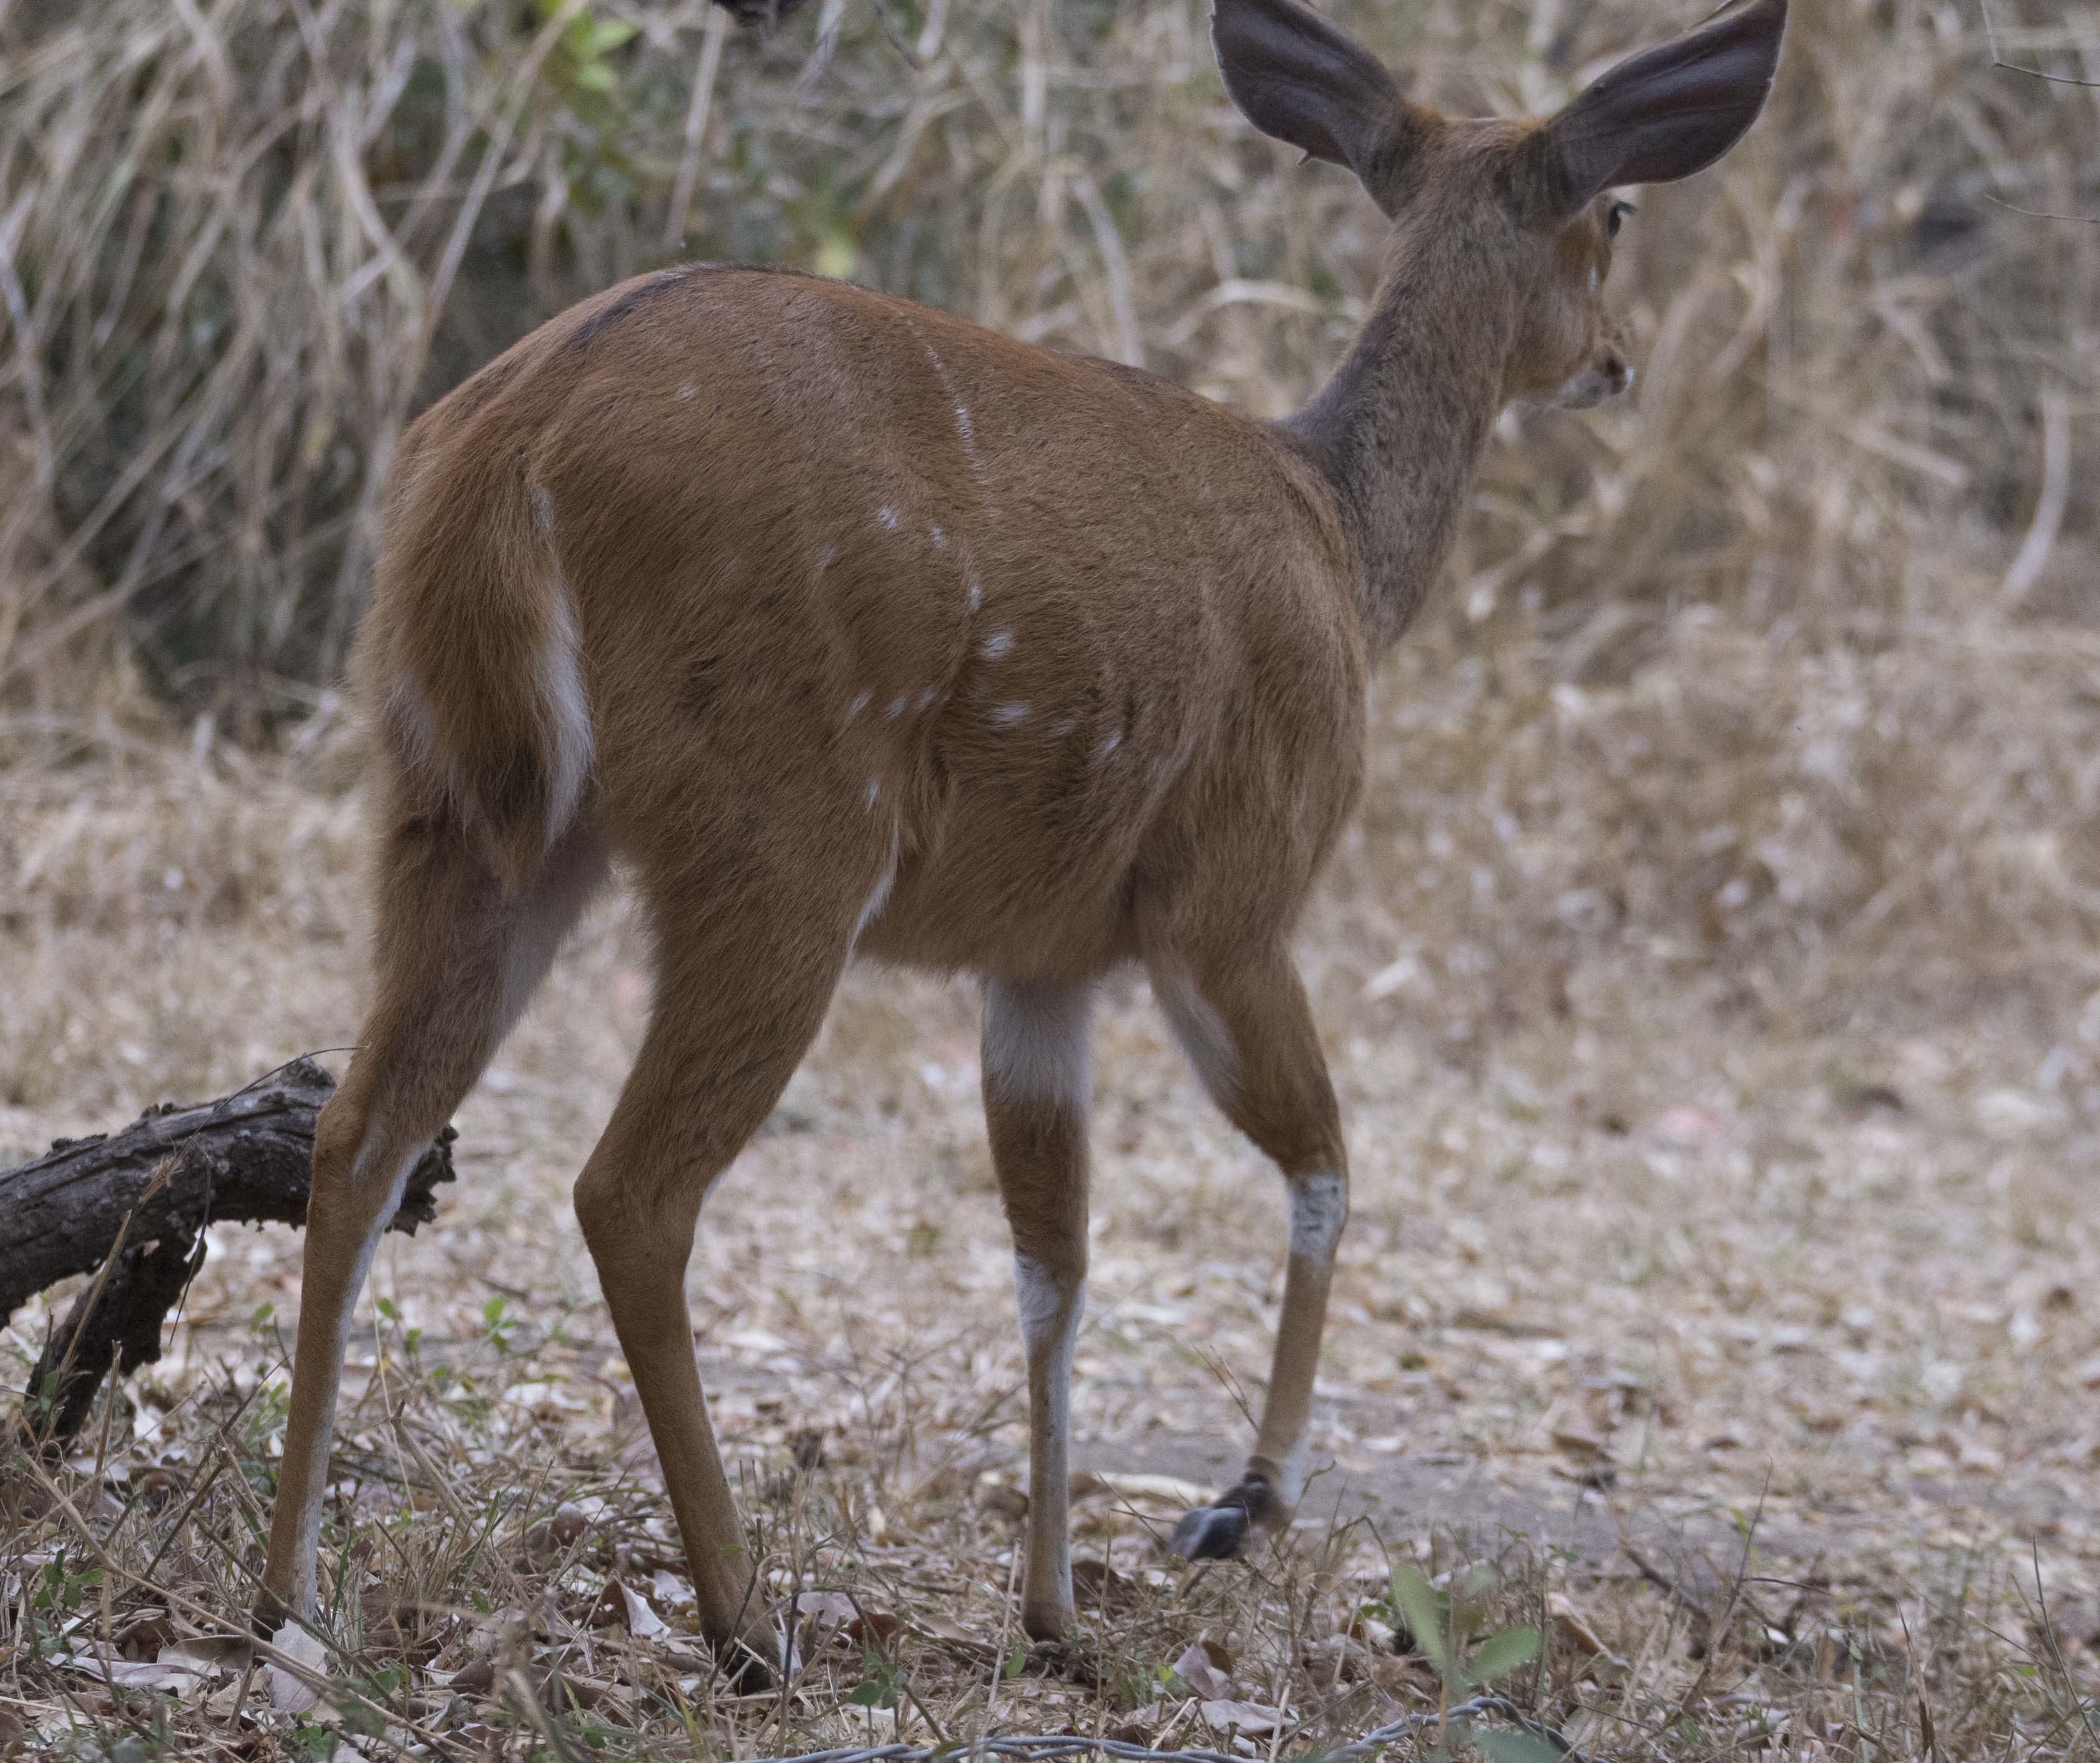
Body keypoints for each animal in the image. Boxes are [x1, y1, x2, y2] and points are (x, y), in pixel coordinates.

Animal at [254, 0, 1781, 1672]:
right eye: (1614, 213)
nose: (1617, 362)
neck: (1343, 544)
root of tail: (508, 445)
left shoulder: (1040, 960)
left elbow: (1051, 1261)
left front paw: (1052, 1611)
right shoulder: (1228, 899)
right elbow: (1321, 1156)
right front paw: (1236, 1504)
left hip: (459, 806)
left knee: (358, 1129)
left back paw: (288, 1596)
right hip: (783, 831)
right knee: (628, 1188)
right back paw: (744, 1620)